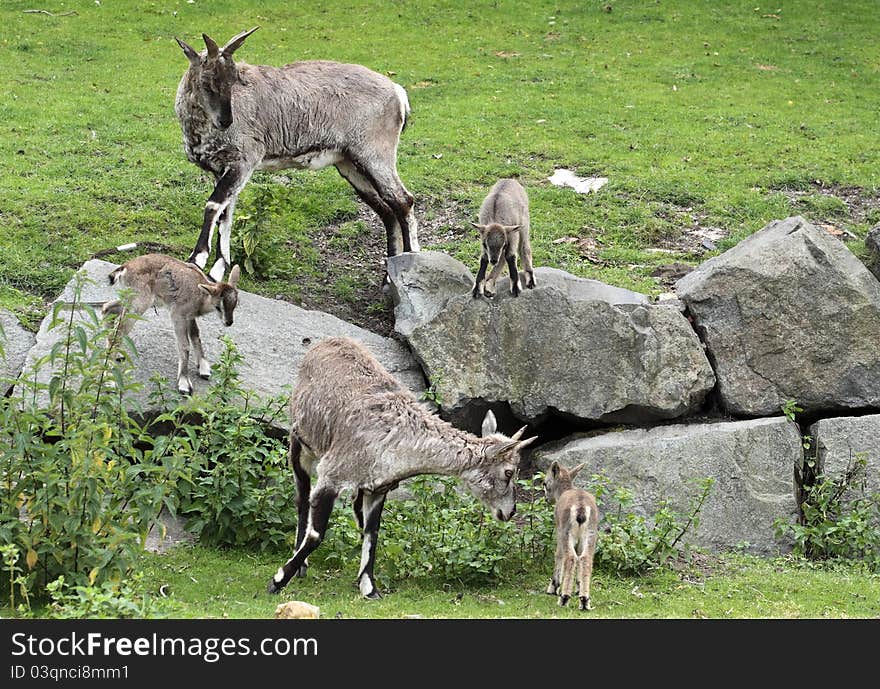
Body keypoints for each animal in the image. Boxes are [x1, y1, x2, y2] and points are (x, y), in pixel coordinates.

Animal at [101, 253, 241, 392]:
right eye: (218, 306)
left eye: (235, 304)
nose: (229, 322)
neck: (200, 297)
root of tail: (124, 268)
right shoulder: (178, 314)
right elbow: (184, 345)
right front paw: (184, 383)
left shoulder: (189, 316)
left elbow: (195, 335)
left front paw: (203, 368)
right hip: (139, 303)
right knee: (117, 332)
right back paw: (109, 379)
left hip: (130, 299)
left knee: (107, 308)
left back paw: (116, 354)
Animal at [174, 27, 420, 282]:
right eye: (206, 82)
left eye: (233, 80)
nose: (226, 121)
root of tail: (398, 93)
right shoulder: (222, 168)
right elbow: (226, 213)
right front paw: (217, 269)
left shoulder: (244, 161)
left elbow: (214, 205)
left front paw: (197, 259)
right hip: (350, 164)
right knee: (387, 211)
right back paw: (388, 278)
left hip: (375, 154)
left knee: (403, 201)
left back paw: (409, 267)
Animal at [266, 336, 536, 600]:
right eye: (508, 472)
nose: (510, 512)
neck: (398, 437)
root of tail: (325, 343)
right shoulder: (332, 474)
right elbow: (317, 534)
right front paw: (278, 580)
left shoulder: (378, 488)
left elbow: (372, 531)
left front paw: (369, 588)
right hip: (300, 443)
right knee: (302, 499)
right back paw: (300, 566)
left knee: (351, 508)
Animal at [544, 460, 600, 612]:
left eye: (545, 483)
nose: (546, 499)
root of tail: (581, 508)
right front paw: (578, 587)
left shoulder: (559, 529)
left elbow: (558, 554)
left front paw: (553, 587)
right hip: (591, 533)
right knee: (585, 558)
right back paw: (585, 600)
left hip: (567, 532)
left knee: (570, 557)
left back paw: (564, 598)